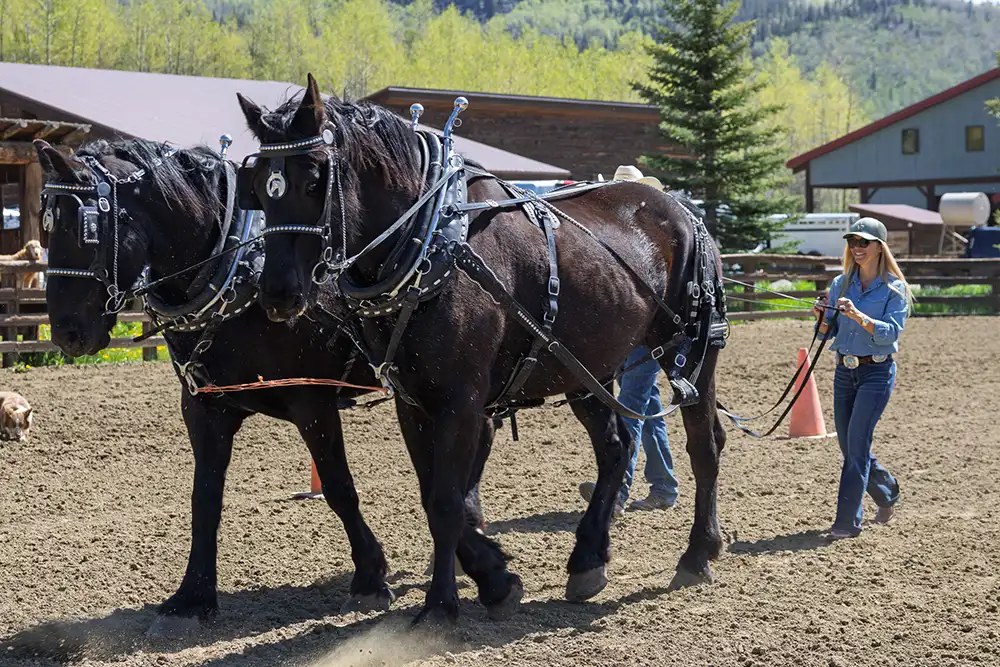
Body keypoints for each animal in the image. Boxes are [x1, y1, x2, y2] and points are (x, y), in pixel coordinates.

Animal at [32, 136, 492, 634]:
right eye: (45, 225)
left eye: (84, 227)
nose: (66, 332)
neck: (239, 275)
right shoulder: (204, 409)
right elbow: (204, 500)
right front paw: (192, 596)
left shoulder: (312, 401)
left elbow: (338, 488)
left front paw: (371, 576)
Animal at [235, 74, 730, 626]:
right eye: (259, 188)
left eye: (315, 179)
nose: (277, 293)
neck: (434, 241)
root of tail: (682, 210)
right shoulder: (414, 402)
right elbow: (434, 496)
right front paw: (495, 579)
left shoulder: (463, 401)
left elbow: (448, 503)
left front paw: (440, 608)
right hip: (588, 367)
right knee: (615, 447)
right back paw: (587, 560)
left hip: (689, 349)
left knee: (704, 445)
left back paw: (697, 554)